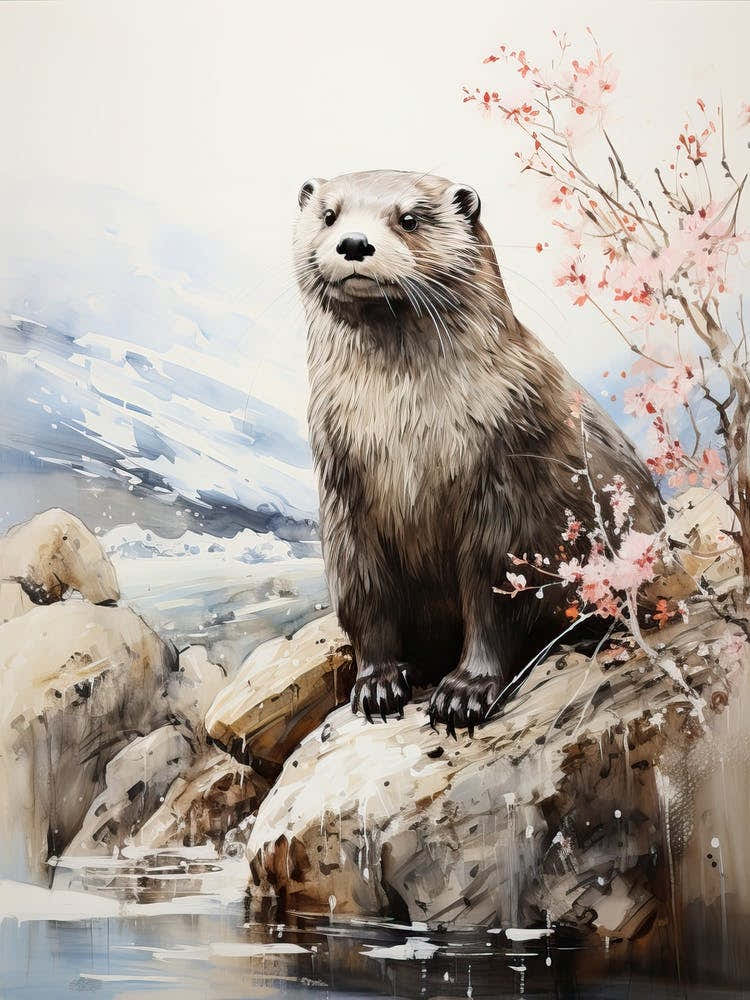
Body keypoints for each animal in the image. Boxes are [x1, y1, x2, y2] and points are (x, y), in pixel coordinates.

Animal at [294, 169, 662, 735]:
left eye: (409, 218)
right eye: (329, 215)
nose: (354, 242)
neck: (405, 434)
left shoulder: (503, 478)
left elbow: (492, 599)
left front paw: (465, 690)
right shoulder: (342, 493)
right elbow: (364, 597)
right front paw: (377, 683)